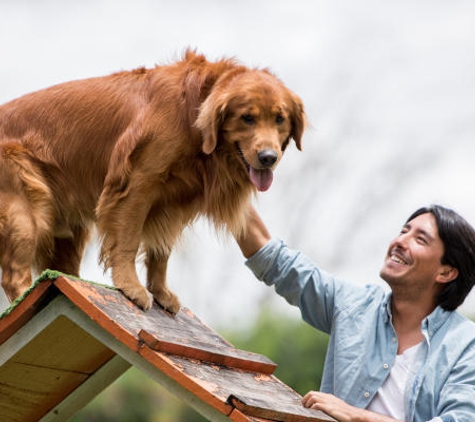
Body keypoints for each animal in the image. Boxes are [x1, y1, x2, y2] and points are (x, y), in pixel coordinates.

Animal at [0, 50, 304, 314]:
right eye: (247, 118)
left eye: (279, 119)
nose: (268, 158)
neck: (191, 114)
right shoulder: (136, 183)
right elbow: (128, 239)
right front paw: (131, 287)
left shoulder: (174, 203)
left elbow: (161, 253)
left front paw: (160, 292)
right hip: (27, 215)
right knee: (14, 276)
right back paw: (23, 302)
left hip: (68, 232)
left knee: (61, 272)